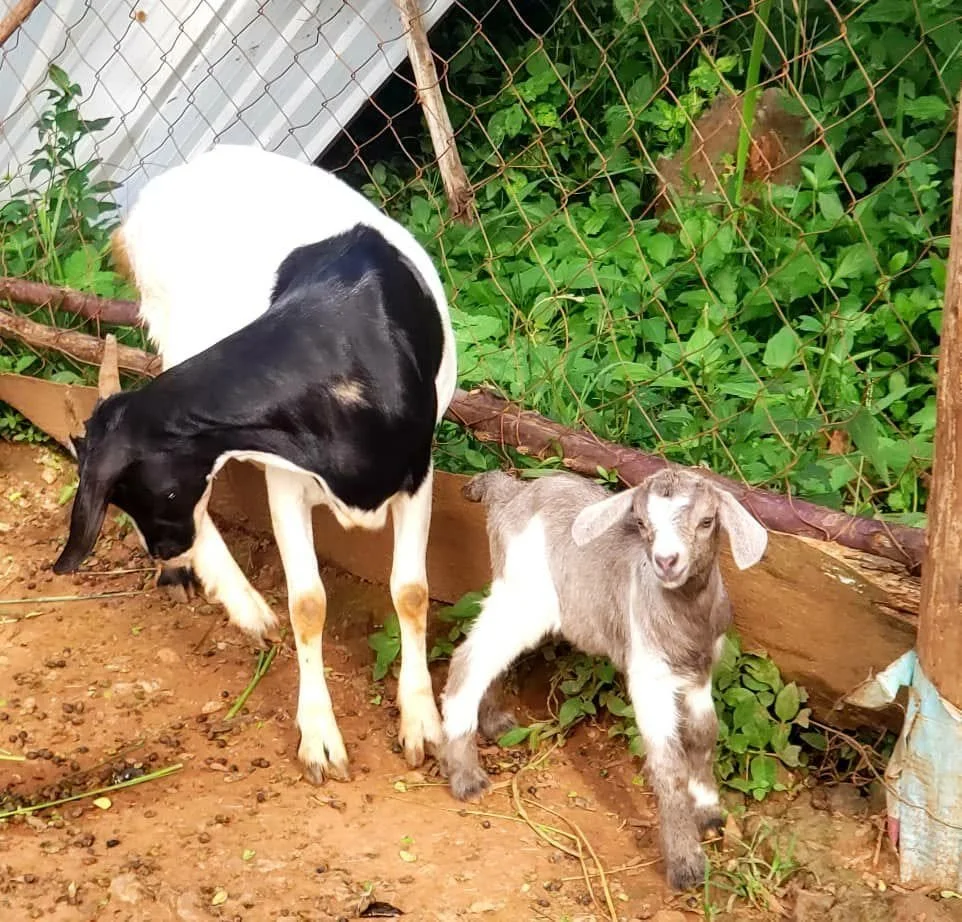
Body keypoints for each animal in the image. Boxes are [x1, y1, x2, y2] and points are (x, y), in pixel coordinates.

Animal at [53, 145, 457, 784]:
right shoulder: (285, 477)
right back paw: (230, 598)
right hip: (174, 334)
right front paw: (320, 739)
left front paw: (422, 723)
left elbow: (411, 591)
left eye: (142, 489)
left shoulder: (418, 472)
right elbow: (307, 603)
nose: (162, 549)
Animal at [440, 469, 768, 890]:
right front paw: (686, 862)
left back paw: (494, 721)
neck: (684, 614)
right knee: (469, 661)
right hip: (524, 598)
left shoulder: (700, 672)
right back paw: (467, 776)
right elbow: (668, 763)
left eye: (707, 521)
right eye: (641, 522)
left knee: (488, 657)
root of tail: (511, 491)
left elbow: (704, 737)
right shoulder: (648, 676)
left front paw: (709, 811)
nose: (666, 561)